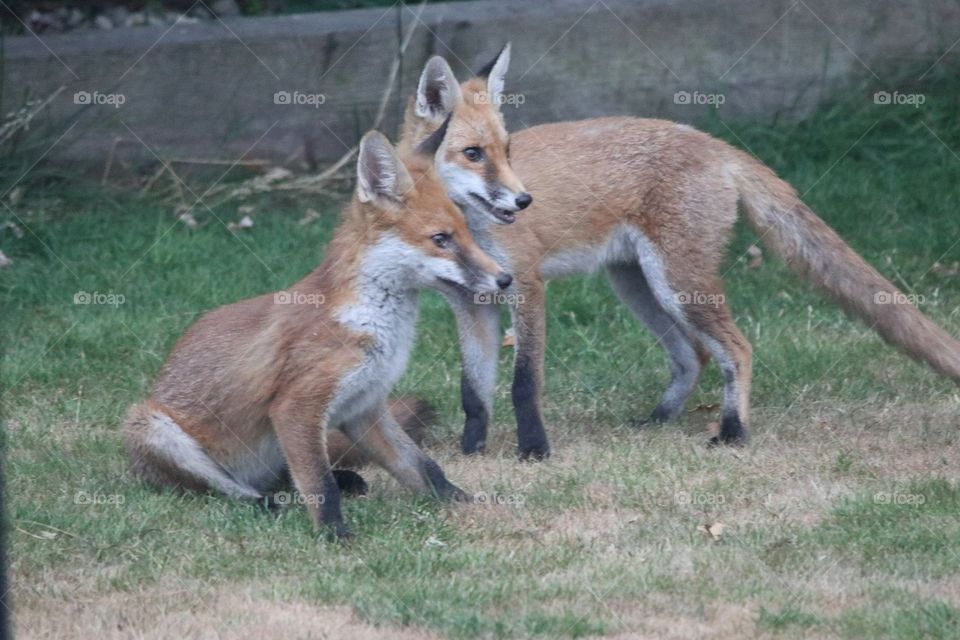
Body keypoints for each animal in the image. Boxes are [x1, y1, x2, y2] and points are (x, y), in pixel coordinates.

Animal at [123, 125, 513, 538]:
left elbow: (423, 467)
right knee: (229, 489)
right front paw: (335, 534)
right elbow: (319, 484)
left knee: (289, 478)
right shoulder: (296, 407)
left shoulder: (364, 407)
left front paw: (463, 503)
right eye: (441, 240)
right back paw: (263, 502)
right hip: (150, 426)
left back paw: (342, 480)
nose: (505, 279)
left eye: (467, 233)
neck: (371, 324)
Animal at [400, 44, 960, 460]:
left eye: (508, 152)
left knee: (737, 350)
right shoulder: (469, 305)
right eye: (474, 154)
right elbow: (473, 392)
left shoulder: (528, 288)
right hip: (638, 285)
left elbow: (523, 384)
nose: (523, 201)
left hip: (677, 285)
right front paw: (471, 452)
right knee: (693, 357)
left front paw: (535, 450)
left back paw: (733, 433)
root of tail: (715, 144)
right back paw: (658, 421)